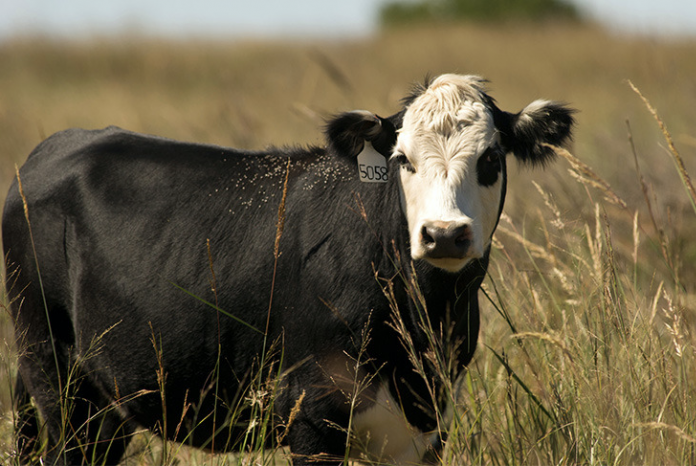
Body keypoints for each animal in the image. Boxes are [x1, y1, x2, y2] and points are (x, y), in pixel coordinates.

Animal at [3, 74, 574, 465]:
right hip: (54, 373)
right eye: (402, 159)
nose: (444, 233)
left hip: (103, 402)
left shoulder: (428, 428)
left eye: (491, 159)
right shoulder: (310, 413)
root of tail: (57, 146)